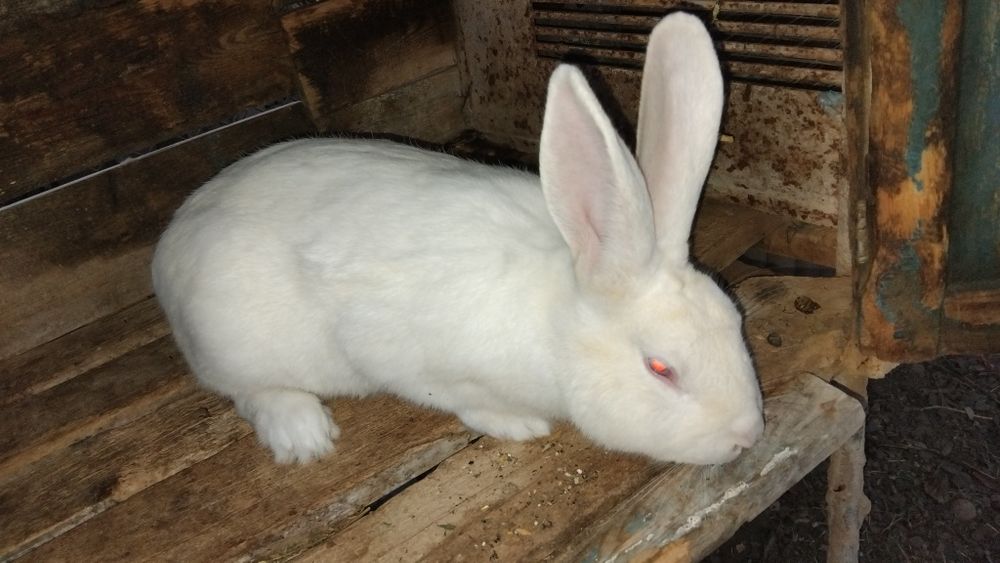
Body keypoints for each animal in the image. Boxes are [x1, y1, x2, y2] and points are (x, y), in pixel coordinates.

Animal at [151, 12, 764, 466]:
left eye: (735, 321)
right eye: (661, 369)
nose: (747, 438)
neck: (557, 318)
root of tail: (170, 247)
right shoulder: (420, 365)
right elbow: (462, 400)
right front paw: (519, 424)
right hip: (235, 341)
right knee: (249, 390)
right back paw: (304, 434)